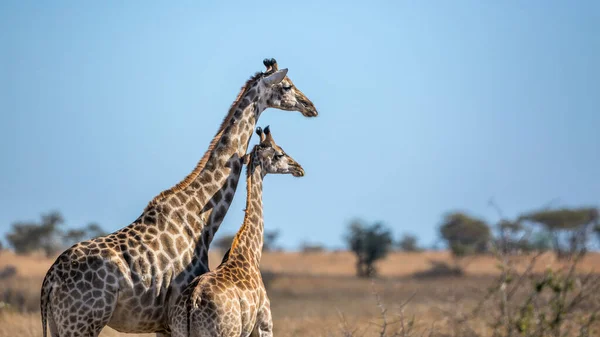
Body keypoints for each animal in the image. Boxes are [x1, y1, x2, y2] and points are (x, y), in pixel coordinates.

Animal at [169, 126, 304, 336]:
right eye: (279, 153)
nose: (298, 168)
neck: (251, 253)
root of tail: (192, 302)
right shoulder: (264, 325)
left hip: (178, 331)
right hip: (225, 332)